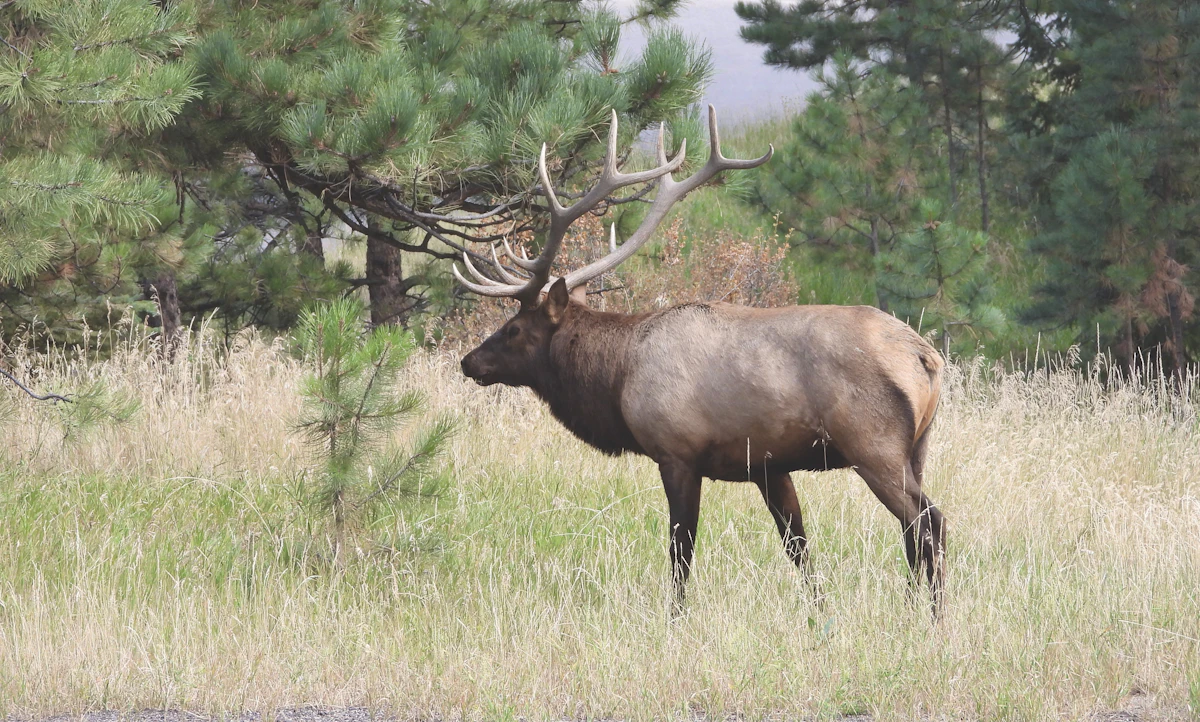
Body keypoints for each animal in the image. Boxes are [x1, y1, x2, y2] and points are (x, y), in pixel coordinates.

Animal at [455, 106, 947, 615]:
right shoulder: (768, 466)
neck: (618, 378)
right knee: (913, 529)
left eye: (514, 329)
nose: (469, 362)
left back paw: (931, 616)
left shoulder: (677, 452)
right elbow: (798, 546)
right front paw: (819, 612)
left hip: (873, 444)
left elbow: (681, 548)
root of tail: (926, 357)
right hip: (918, 448)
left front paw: (674, 617)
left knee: (929, 520)